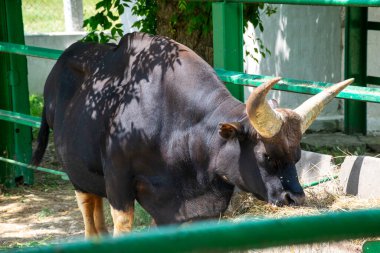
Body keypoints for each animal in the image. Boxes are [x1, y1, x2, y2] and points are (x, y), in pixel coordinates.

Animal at [32, 32, 354, 237]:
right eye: (265, 155)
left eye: (298, 155)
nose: (295, 198)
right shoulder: (119, 184)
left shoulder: (195, 207)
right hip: (77, 176)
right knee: (90, 219)